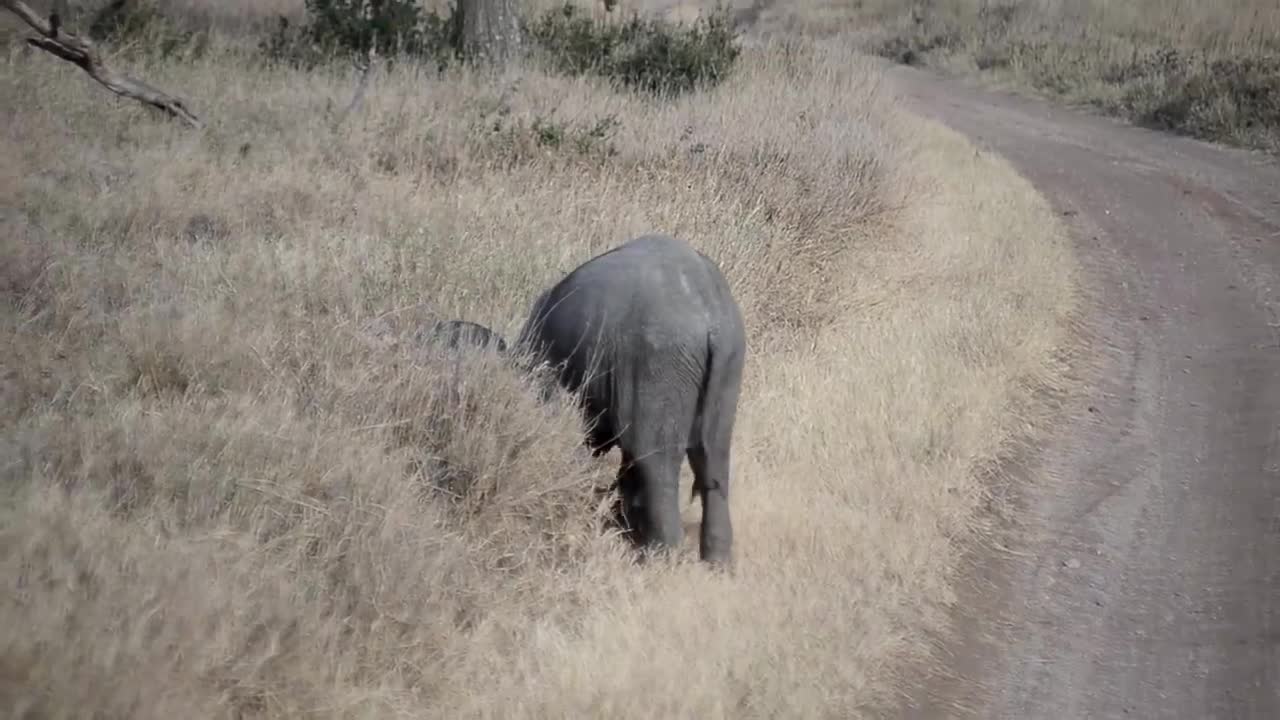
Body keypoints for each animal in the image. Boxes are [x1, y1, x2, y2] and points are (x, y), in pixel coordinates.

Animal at [514, 233, 747, 563]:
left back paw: (661, 559)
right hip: (729, 361)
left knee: (654, 459)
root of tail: (710, 313)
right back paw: (716, 565)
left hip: (659, 358)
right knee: (713, 459)